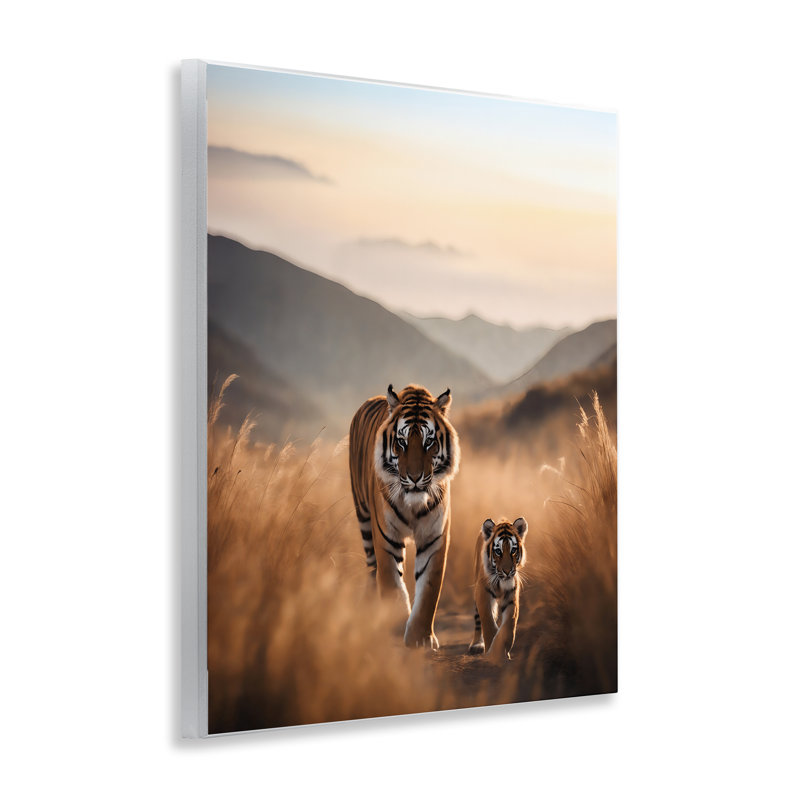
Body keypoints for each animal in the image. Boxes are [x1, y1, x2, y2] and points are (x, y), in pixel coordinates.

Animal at [349, 383, 460, 650]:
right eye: (401, 442)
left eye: (429, 442)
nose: (415, 477)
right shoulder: (386, 537)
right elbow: (392, 584)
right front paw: (395, 627)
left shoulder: (434, 539)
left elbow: (429, 591)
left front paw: (420, 637)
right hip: (364, 518)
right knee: (372, 570)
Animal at [467, 517, 528, 661]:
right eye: (498, 551)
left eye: (513, 550)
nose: (507, 571)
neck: (501, 582)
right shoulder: (482, 593)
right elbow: (488, 623)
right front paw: (491, 652)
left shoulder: (512, 598)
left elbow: (508, 627)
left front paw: (500, 651)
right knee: (478, 620)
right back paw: (476, 645)